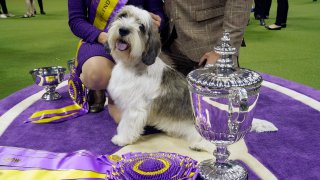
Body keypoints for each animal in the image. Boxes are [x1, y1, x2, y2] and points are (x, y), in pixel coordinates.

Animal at [105, 5, 210, 151]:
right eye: (123, 16)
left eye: (141, 26)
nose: (123, 30)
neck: (132, 66)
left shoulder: (134, 109)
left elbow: (126, 125)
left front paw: (121, 139)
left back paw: (198, 145)